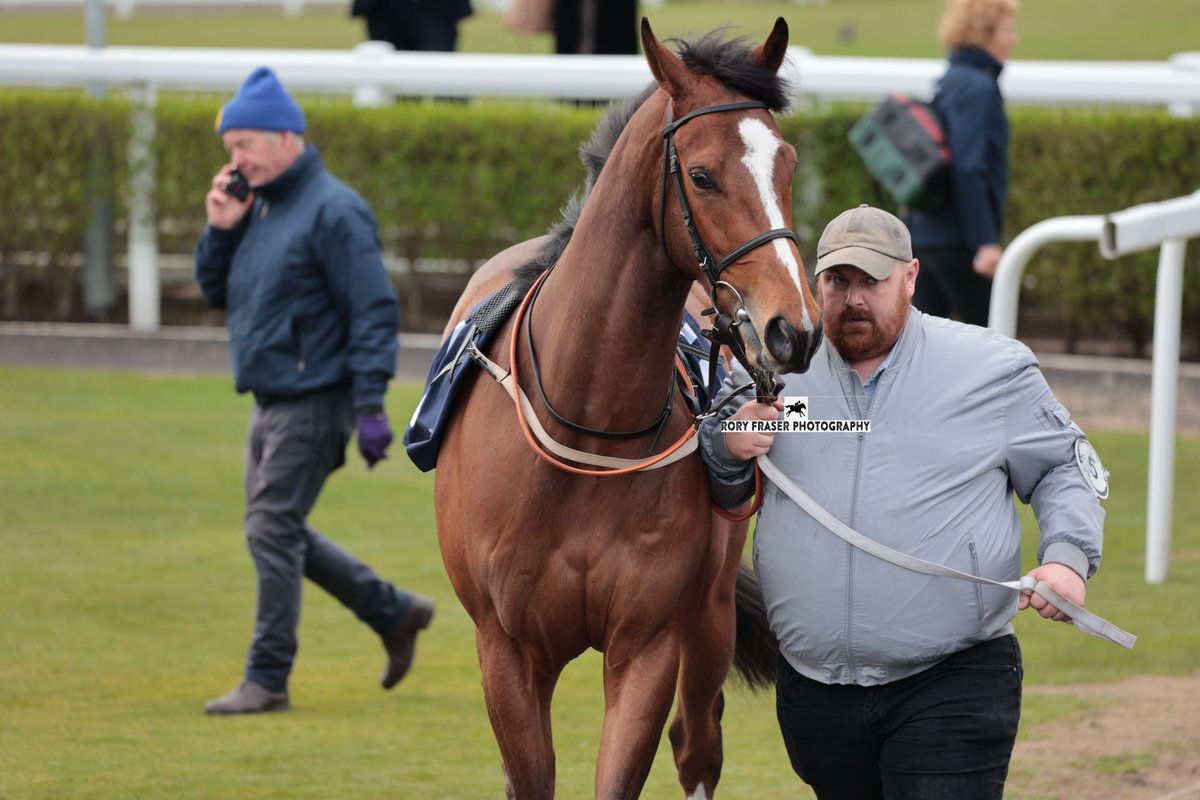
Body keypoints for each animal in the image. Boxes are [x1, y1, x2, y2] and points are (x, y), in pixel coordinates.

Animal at [436, 17, 820, 796]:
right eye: (701, 175)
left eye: (788, 166)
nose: (792, 329)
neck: (589, 432)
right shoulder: (506, 650)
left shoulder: (648, 644)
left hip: (709, 617)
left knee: (697, 741)